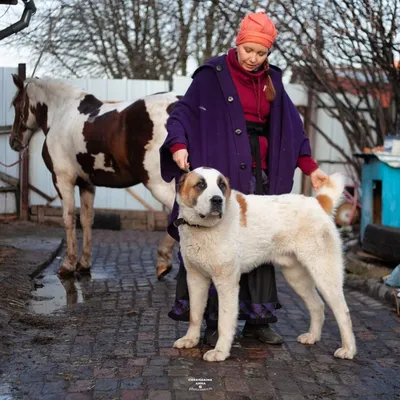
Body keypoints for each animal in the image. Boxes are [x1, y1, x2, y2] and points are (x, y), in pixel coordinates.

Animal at [10, 73, 178, 276]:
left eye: (16, 103)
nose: (13, 141)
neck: (61, 113)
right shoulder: (86, 183)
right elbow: (86, 219)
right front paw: (83, 263)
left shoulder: (62, 180)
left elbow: (68, 217)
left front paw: (68, 264)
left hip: (159, 184)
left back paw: (164, 259)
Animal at [172, 166, 356, 362]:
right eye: (200, 184)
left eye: (222, 185)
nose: (217, 200)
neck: (203, 228)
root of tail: (317, 202)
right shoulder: (195, 278)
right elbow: (195, 314)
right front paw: (191, 339)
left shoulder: (226, 282)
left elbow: (224, 321)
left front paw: (220, 351)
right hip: (296, 277)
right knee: (317, 305)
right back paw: (312, 337)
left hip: (324, 274)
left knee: (343, 312)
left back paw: (348, 349)